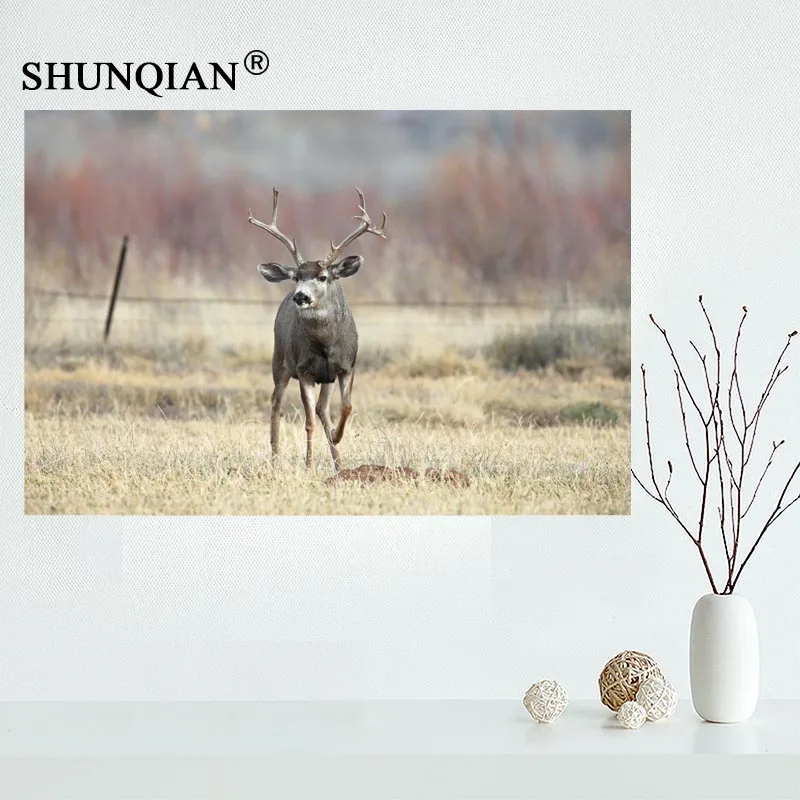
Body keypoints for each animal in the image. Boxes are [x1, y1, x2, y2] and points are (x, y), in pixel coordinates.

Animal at [248, 187, 387, 471]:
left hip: (327, 378)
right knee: (276, 403)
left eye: (323, 277)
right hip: (279, 361)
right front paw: (309, 465)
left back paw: (339, 463)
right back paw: (275, 457)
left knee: (323, 409)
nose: (300, 296)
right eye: (296, 277)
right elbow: (309, 421)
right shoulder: (304, 370)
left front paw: (336, 437)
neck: (325, 345)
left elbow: (346, 407)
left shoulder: (345, 367)